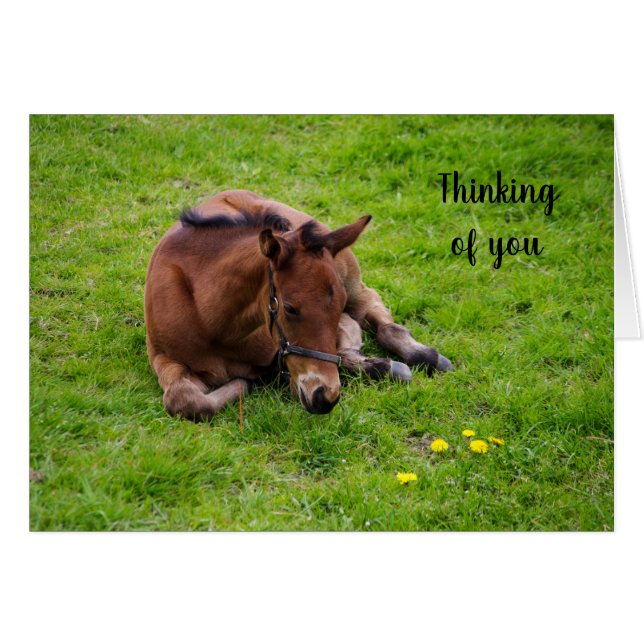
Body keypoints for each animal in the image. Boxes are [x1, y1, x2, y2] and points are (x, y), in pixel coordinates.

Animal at [144, 190, 453, 420]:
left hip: (350, 279)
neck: (210, 320)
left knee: (372, 311)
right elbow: (184, 400)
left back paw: (420, 356)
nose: (326, 398)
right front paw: (244, 382)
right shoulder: (161, 355)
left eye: (337, 304)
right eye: (290, 308)